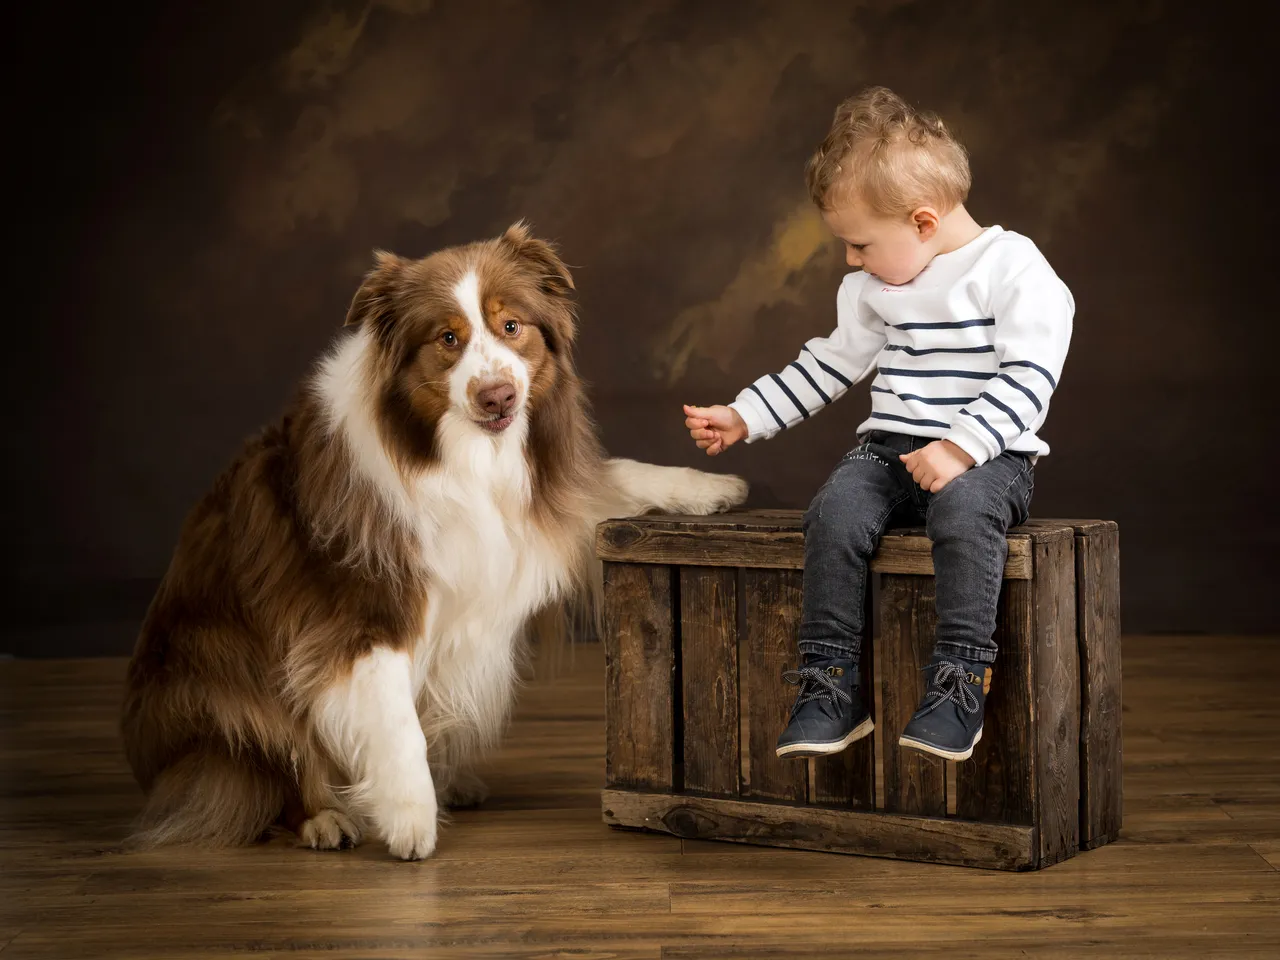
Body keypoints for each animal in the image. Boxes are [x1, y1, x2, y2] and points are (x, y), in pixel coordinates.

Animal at [122, 224, 747, 855]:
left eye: (511, 326)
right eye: (448, 338)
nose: (497, 396)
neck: (465, 455)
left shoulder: (546, 497)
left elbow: (615, 477)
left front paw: (714, 484)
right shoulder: (365, 610)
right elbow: (397, 721)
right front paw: (410, 821)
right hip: (219, 667)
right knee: (277, 756)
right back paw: (326, 818)